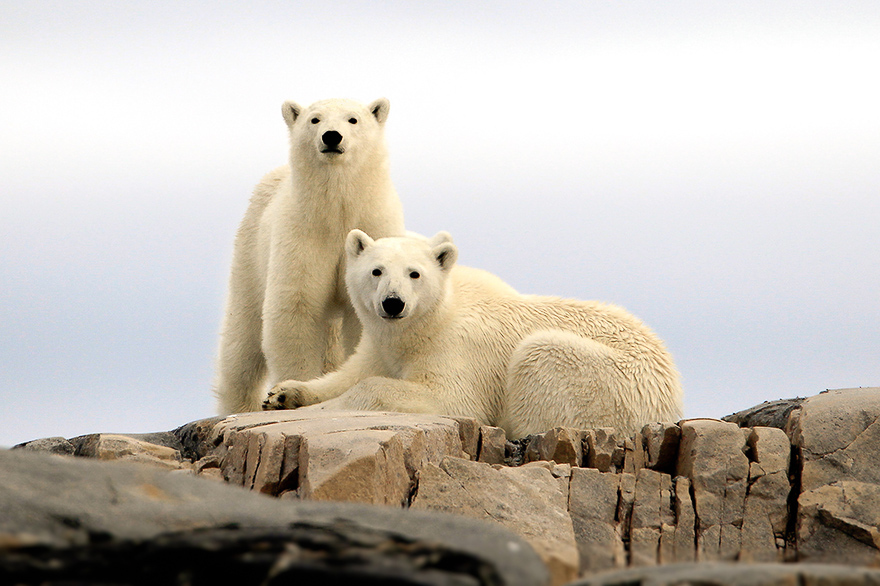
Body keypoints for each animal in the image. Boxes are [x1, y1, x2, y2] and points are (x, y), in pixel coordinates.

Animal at [215, 99, 408, 410]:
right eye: (314, 119)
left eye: (353, 119)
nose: (332, 136)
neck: (338, 212)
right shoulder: (302, 234)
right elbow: (296, 306)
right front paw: (288, 393)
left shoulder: (374, 225)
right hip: (250, 253)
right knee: (241, 344)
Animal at [264, 230, 684, 436]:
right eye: (376, 270)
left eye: (415, 273)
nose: (393, 304)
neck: (427, 322)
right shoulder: (380, 344)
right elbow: (351, 373)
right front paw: (283, 394)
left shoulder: (458, 349)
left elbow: (450, 397)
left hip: (611, 383)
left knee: (540, 354)